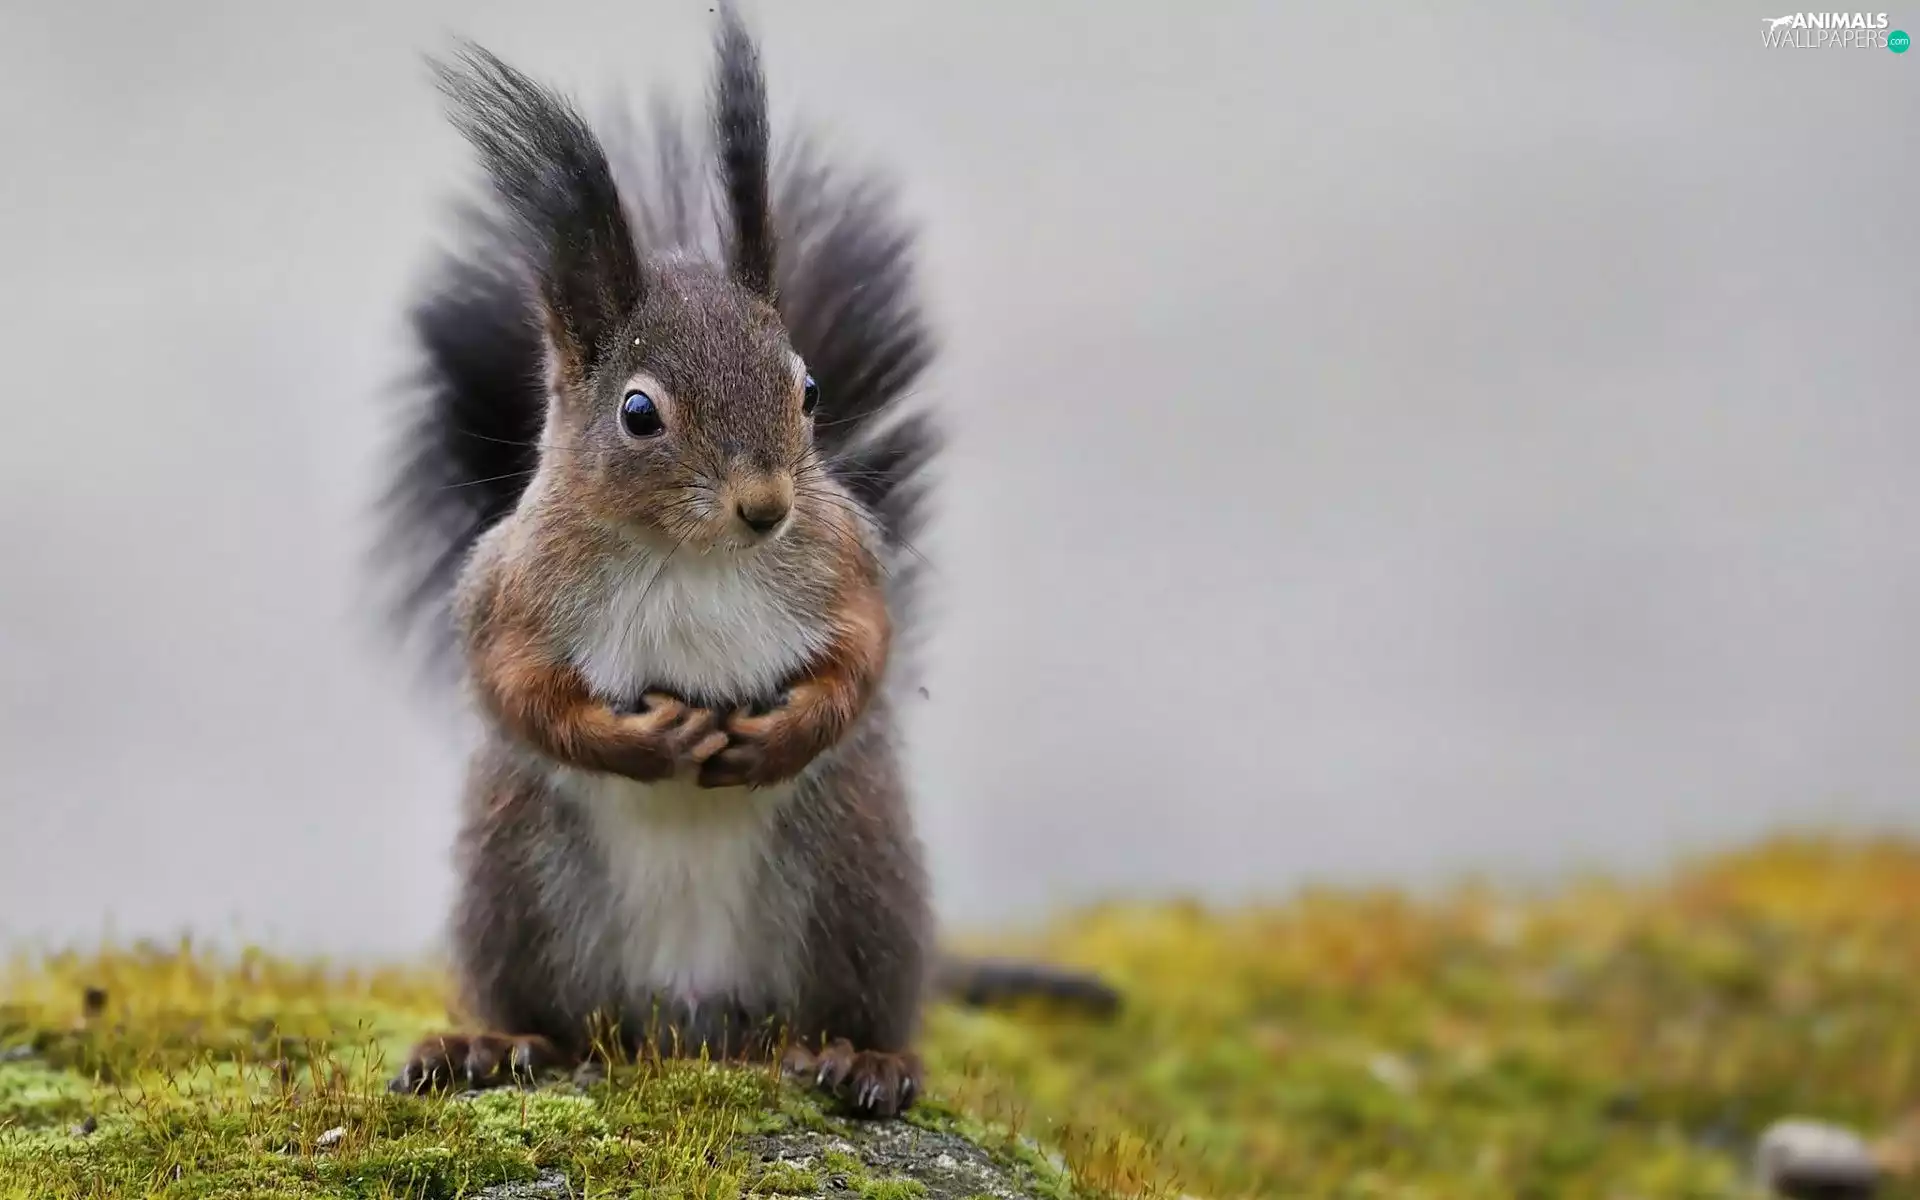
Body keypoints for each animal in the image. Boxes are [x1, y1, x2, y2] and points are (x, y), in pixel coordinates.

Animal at [369, 7, 1117, 1120]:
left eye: (807, 390)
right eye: (639, 413)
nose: (766, 506)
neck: (693, 555)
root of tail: (690, 1022)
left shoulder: (845, 563)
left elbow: (865, 656)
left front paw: (783, 732)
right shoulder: (512, 591)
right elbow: (515, 690)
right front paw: (640, 742)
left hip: (854, 879)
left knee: (850, 1004)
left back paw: (860, 1059)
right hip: (518, 884)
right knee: (551, 1017)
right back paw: (491, 1045)